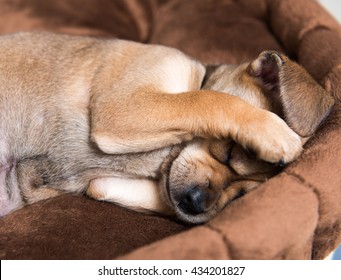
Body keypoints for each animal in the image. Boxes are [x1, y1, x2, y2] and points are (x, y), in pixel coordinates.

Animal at [0, 31, 330, 223]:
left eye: (243, 194)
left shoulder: (103, 184)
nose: (196, 204)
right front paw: (273, 131)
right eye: (229, 151)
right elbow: (206, 99)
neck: (164, 159)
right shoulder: (122, 108)